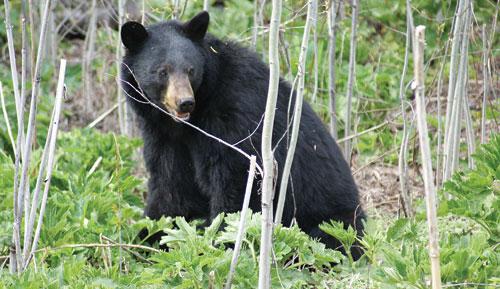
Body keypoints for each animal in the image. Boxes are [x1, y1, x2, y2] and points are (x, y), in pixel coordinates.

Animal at [119, 12, 366, 258]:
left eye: (191, 70)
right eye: (162, 71)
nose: (185, 102)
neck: (186, 123)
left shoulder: (235, 115)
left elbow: (235, 181)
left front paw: (221, 242)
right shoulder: (164, 138)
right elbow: (170, 185)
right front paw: (148, 237)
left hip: (332, 223)